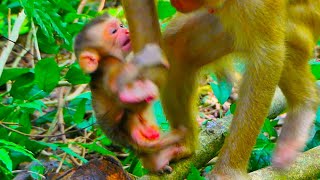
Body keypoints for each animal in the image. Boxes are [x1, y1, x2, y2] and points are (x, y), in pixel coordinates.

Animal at [121, 0, 318, 179]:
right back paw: (184, 146)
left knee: (286, 36)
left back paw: (306, 104)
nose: (177, 3)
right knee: (179, 45)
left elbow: (267, 58)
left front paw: (227, 172)